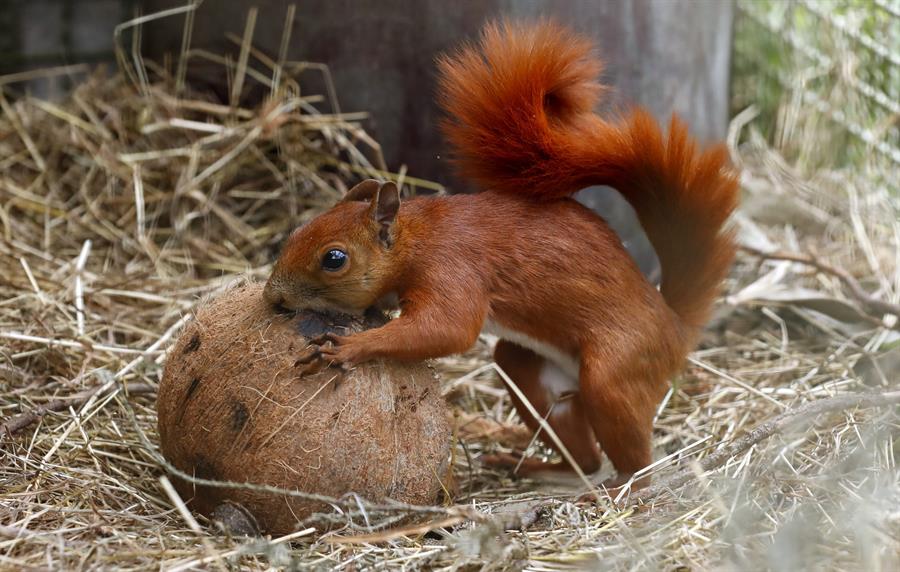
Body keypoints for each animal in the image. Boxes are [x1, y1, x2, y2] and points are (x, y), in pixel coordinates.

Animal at [263, 20, 738, 489]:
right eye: (297, 230)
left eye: (334, 259)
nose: (272, 299)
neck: (418, 237)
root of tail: (673, 326)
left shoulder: (452, 269)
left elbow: (449, 328)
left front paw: (348, 347)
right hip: (532, 374)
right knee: (580, 454)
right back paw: (542, 469)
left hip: (617, 369)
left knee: (634, 454)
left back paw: (624, 487)